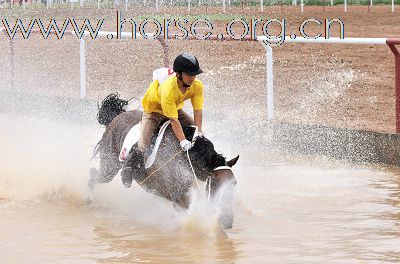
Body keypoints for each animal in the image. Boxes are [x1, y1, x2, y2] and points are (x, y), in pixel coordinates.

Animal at [89, 96, 239, 228]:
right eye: (215, 183)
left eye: (234, 183)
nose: (228, 220)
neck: (187, 160)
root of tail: (115, 117)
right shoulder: (180, 199)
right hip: (109, 166)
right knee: (94, 175)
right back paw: (89, 200)